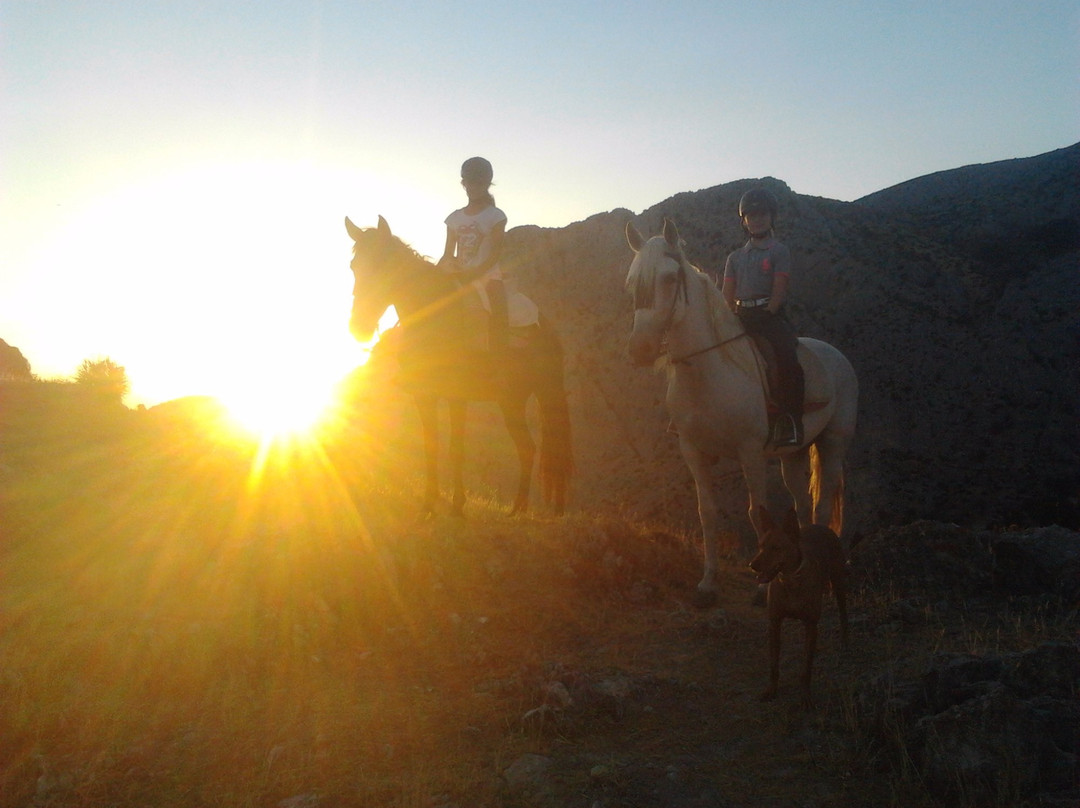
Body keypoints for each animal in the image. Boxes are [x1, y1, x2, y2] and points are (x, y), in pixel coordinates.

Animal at [343, 216, 574, 512]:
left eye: (385, 266)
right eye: (354, 266)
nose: (358, 326)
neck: (435, 321)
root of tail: (546, 329)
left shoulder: (457, 396)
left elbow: (456, 449)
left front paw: (457, 506)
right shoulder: (424, 395)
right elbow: (431, 446)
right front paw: (429, 505)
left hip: (547, 393)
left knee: (553, 448)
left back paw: (548, 511)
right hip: (511, 401)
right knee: (528, 448)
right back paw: (518, 510)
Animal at [630, 219, 855, 604]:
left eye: (670, 278)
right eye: (632, 281)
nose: (639, 350)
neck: (709, 372)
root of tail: (837, 356)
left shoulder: (750, 452)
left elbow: (756, 513)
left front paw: (762, 587)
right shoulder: (693, 451)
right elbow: (707, 512)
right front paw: (708, 582)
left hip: (833, 441)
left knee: (823, 502)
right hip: (793, 453)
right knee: (801, 501)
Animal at [747, 507, 846, 704]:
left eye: (776, 548)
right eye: (760, 545)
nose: (752, 565)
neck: (790, 580)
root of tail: (821, 526)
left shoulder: (811, 623)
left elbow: (806, 667)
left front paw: (806, 695)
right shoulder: (775, 623)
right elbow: (773, 664)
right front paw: (772, 690)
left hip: (839, 582)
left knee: (843, 614)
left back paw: (846, 644)